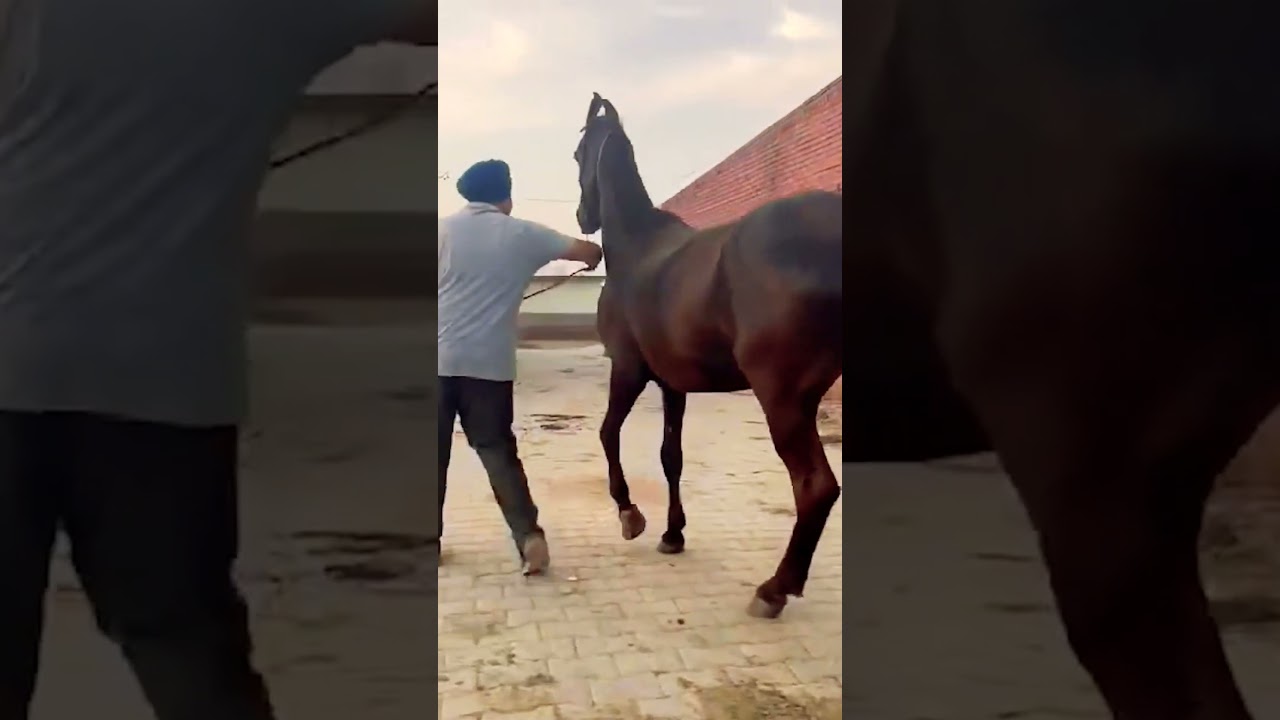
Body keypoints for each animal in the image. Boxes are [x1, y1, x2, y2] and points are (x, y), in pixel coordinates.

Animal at [571, 94, 844, 620]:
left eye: (578, 154)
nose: (582, 216)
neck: (638, 249)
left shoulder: (627, 370)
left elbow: (608, 433)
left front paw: (630, 514)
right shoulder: (672, 384)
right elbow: (670, 456)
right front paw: (673, 534)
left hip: (784, 399)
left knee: (815, 486)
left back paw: (774, 589)